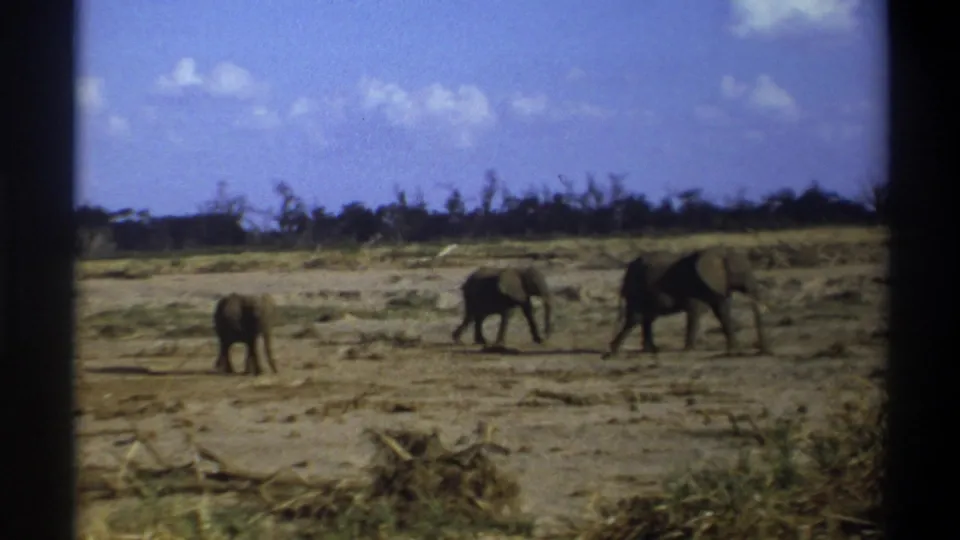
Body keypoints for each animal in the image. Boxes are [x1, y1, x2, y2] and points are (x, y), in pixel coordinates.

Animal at [603, 246, 772, 359]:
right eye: (743, 273)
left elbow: (722, 312)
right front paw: (689, 350)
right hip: (637, 289)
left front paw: (735, 350)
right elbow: (695, 311)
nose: (763, 352)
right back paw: (615, 351)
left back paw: (650, 350)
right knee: (636, 317)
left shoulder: (719, 284)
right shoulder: (693, 284)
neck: (719, 253)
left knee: (647, 317)